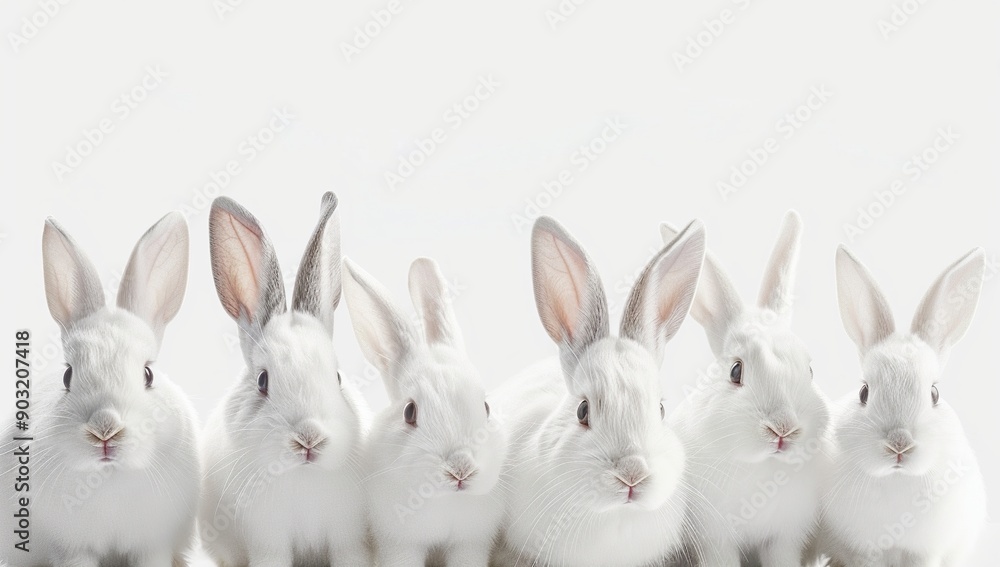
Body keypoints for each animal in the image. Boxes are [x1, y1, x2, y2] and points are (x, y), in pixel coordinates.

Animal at [0, 213, 199, 567]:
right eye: (68, 375)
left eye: (148, 374)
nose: (104, 429)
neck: (108, 477)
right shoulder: (72, 548)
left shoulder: (153, 546)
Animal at [341, 256, 507, 567]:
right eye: (409, 412)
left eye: (486, 407)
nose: (461, 469)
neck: (444, 500)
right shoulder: (400, 544)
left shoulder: (469, 543)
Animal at [662, 210, 832, 567]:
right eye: (736, 371)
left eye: (810, 370)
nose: (783, 428)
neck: (762, 466)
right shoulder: (715, 540)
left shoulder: (783, 539)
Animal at [819, 246, 988, 566]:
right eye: (864, 392)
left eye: (934, 393)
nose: (899, 443)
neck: (895, 479)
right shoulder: (862, 551)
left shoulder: (924, 552)